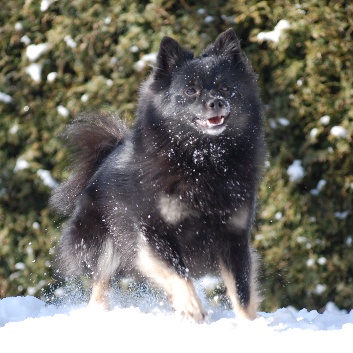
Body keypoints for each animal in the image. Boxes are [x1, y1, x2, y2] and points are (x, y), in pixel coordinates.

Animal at [50, 28, 264, 320]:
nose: (217, 102)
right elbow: (178, 273)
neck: (202, 162)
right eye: (190, 90)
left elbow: (242, 293)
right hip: (102, 238)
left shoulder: (234, 237)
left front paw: (250, 325)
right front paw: (192, 308)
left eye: (225, 87)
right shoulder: (154, 232)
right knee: (101, 279)